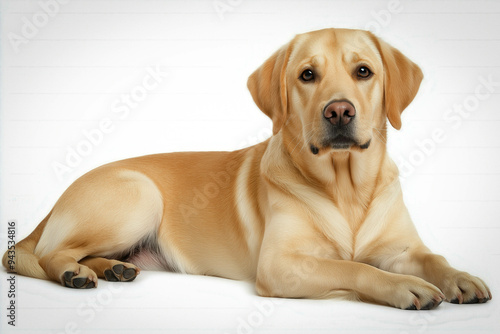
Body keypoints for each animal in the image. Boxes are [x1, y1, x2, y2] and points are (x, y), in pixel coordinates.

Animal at [0, 27, 492, 310]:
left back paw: (112, 269)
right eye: (307, 75)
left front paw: (461, 278)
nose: (338, 111)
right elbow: (355, 269)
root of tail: (59, 198)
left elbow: (432, 258)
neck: (346, 187)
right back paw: (75, 273)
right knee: (49, 253)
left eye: (364, 72)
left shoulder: (402, 248)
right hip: (139, 196)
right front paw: (404, 287)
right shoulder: (281, 265)